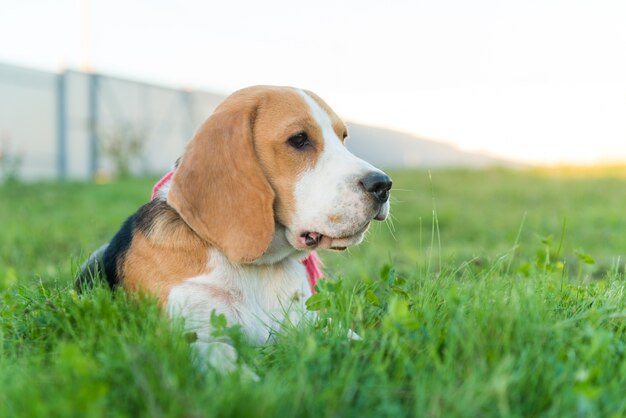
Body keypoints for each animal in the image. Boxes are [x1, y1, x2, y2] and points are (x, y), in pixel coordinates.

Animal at [78, 86, 390, 374]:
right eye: (299, 139)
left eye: (343, 137)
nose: (383, 184)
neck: (258, 268)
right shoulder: (184, 335)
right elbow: (220, 353)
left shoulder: (306, 319)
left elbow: (351, 334)